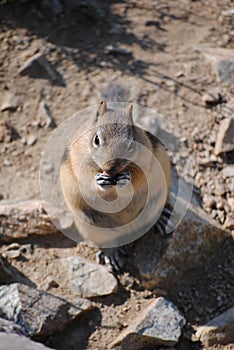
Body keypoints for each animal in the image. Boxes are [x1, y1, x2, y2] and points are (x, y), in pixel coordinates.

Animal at [59, 101, 171, 270]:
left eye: (131, 144)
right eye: (96, 139)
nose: (111, 167)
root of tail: (129, 227)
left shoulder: (146, 157)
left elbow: (139, 176)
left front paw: (125, 180)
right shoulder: (78, 159)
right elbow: (85, 178)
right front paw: (99, 181)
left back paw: (163, 217)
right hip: (93, 225)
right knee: (108, 241)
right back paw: (112, 257)